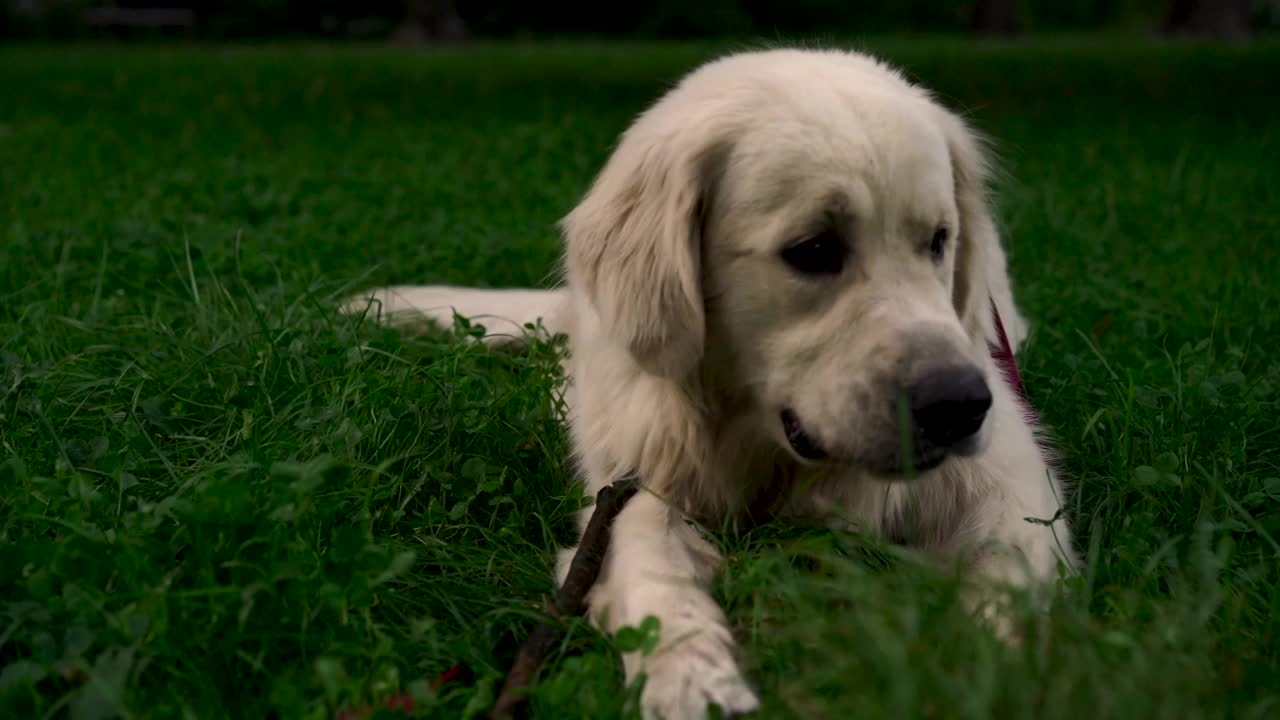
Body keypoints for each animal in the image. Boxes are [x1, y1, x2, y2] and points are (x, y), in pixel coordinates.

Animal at [343, 47, 1080, 712]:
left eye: (938, 241)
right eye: (814, 249)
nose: (958, 405)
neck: (766, 450)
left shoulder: (1012, 478)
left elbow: (1009, 578)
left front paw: (990, 669)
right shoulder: (635, 483)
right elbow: (647, 564)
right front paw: (690, 675)